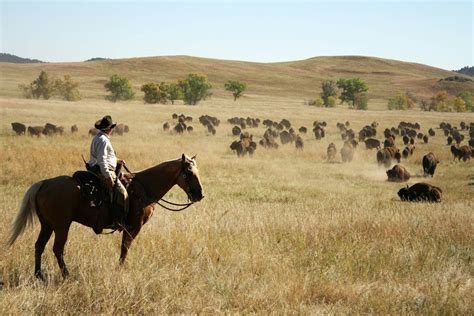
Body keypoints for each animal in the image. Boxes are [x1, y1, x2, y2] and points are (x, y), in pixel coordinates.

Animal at [7, 154, 204, 280]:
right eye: (189, 173)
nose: (200, 195)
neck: (143, 188)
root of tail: (44, 183)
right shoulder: (133, 227)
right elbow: (125, 249)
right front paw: (120, 269)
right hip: (62, 226)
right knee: (57, 249)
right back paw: (66, 275)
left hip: (47, 225)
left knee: (39, 246)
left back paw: (39, 275)